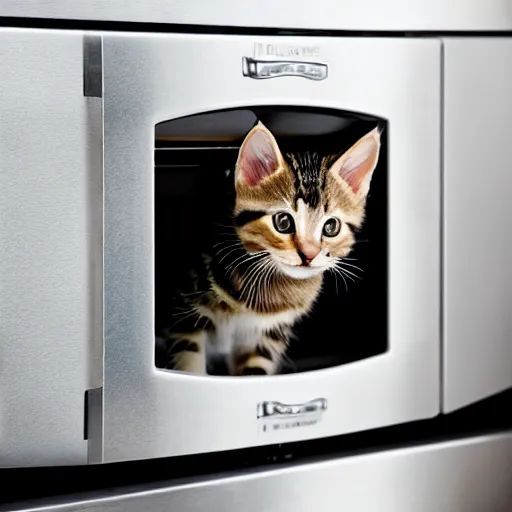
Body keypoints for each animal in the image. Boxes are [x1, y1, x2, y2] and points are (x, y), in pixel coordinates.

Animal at [158, 121, 382, 374]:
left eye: (331, 226)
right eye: (283, 222)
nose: (309, 254)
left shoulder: (267, 337)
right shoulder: (184, 311)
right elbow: (188, 362)